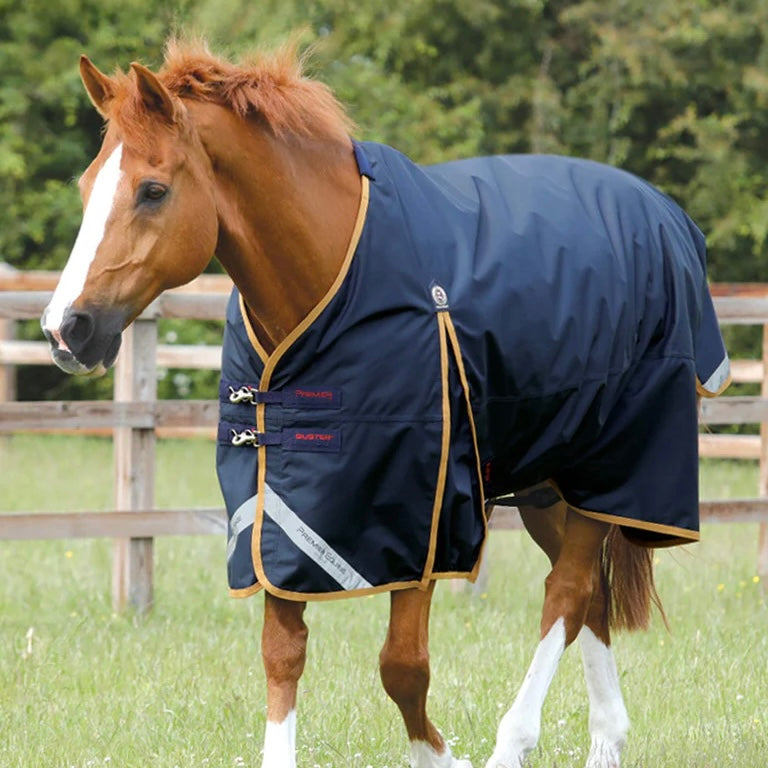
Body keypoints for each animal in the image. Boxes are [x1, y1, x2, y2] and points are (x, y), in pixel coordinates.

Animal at [41, 42, 730, 768]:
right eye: (87, 187)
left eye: (153, 190)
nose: (65, 330)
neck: (334, 279)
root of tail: (667, 219)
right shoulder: (276, 512)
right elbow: (282, 654)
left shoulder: (422, 515)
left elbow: (402, 667)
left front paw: (446, 758)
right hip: (550, 486)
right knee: (589, 601)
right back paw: (606, 739)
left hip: (610, 467)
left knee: (566, 597)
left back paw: (512, 742)